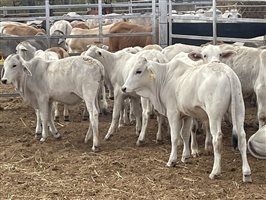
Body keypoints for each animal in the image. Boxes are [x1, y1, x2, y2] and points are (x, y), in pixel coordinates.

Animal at [121, 55, 252, 182]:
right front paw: (186, 156)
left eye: (138, 71)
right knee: (242, 137)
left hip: (214, 115)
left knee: (217, 138)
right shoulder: (187, 115)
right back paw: (246, 173)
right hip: (239, 109)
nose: (124, 88)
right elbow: (185, 134)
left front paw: (172, 160)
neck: (164, 78)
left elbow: (175, 137)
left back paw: (215, 172)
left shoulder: (173, 113)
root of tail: (226, 71)